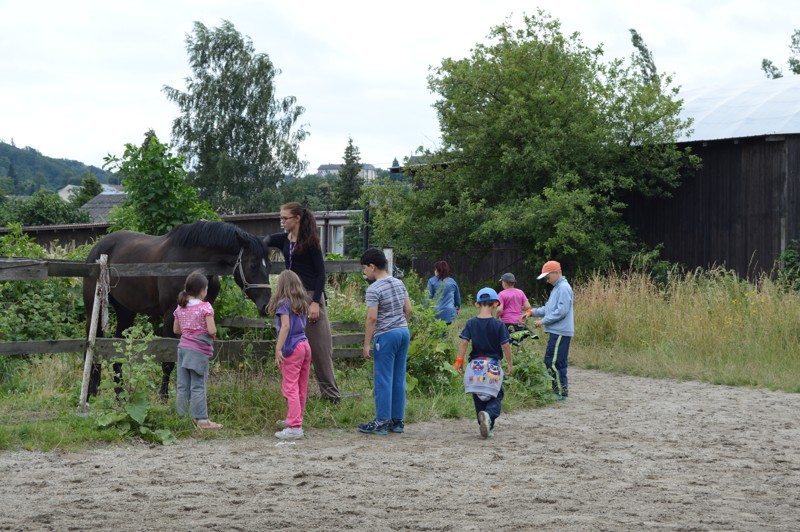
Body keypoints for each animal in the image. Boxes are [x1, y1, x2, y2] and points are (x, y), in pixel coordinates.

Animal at [83, 220, 272, 400]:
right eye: (253, 264)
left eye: (268, 265)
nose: (266, 306)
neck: (191, 264)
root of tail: (98, 248)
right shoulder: (170, 315)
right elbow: (168, 361)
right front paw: (164, 397)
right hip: (94, 310)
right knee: (93, 347)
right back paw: (90, 393)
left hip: (125, 312)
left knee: (117, 350)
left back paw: (119, 395)